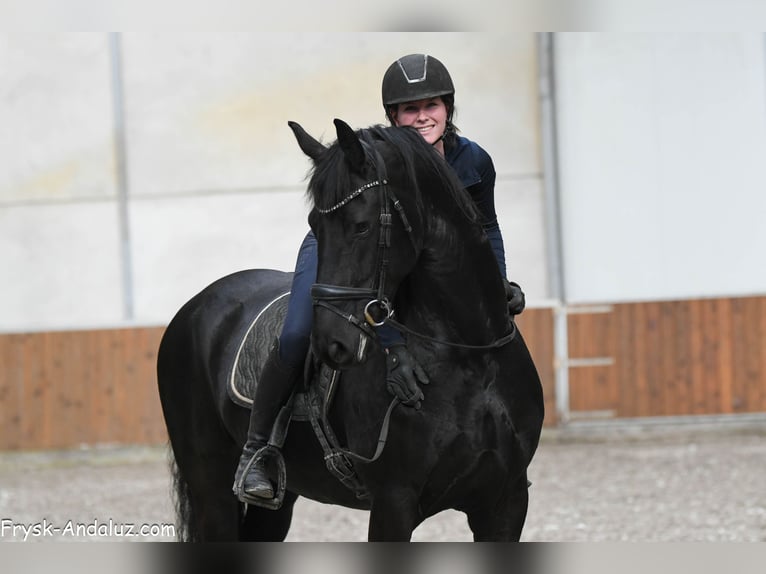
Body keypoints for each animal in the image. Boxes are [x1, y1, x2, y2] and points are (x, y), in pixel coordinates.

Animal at [156, 118, 544, 541]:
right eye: (314, 225)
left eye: (361, 226)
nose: (332, 343)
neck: (469, 359)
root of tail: (194, 307)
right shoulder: (394, 503)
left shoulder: (506, 503)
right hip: (211, 490)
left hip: (281, 501)